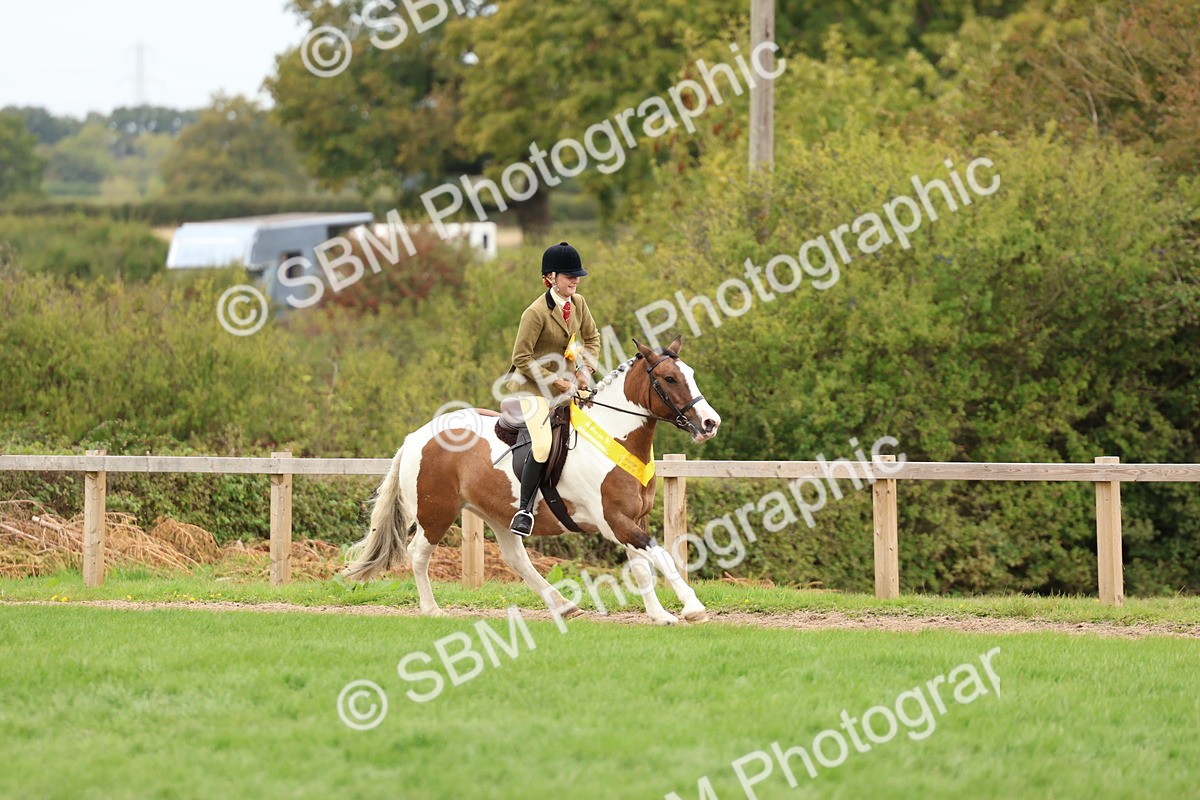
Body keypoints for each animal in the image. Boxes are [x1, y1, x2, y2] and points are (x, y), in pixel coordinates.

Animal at [342, 336, 722, 625]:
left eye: (690, 374)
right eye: (670, 379)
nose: (710, 423)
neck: (614, 436)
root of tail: (416, 437)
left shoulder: (632, 520)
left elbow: (644, 566)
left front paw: (660, 615)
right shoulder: (614, 520)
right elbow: (661, 556)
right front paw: (693, 608)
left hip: (498, 513)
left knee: (517, 559)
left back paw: (563, 606)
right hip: (436, 513)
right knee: (419, 554)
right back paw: (432, 610)